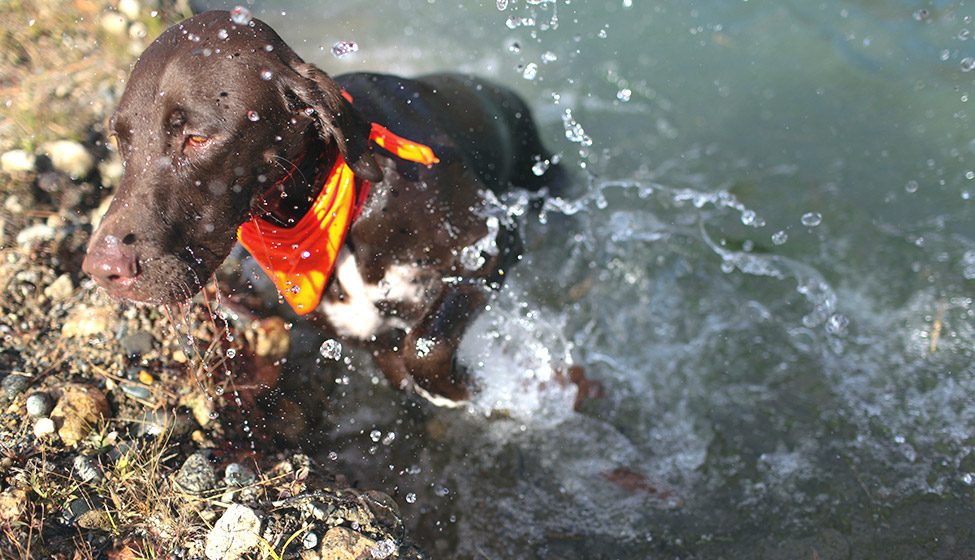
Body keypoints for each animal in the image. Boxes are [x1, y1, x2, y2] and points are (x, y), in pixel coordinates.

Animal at [86, 10, 556, 404]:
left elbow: (426, 345)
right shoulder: (358, 330)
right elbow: (399, 360)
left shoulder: (489, 245)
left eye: (198, 138)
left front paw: (461, 389)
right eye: (120, 138)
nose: (101, 269)